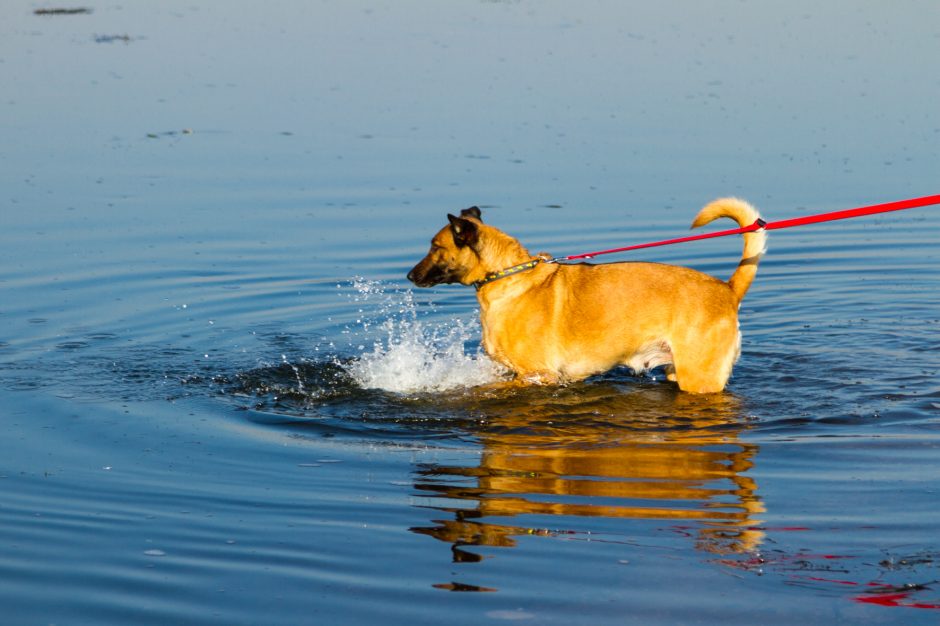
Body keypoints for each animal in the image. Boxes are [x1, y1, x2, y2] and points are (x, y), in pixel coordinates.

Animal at [406, 200, 764, 390]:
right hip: (678, 371)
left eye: (435, 247)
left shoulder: (537, 376)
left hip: (700, 378)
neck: (509, 277)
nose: (410, 276)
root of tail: (728, 289)